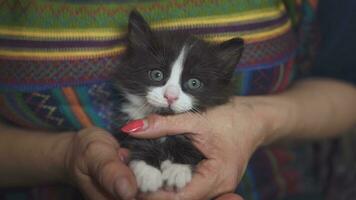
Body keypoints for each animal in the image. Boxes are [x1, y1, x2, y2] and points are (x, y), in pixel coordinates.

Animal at [115, 10, 243, 192]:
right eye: (157, 75)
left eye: (194, 83)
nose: (170, 96)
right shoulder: (130, 118)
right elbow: (135, 139)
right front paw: (148, 171)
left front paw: (178, 169)